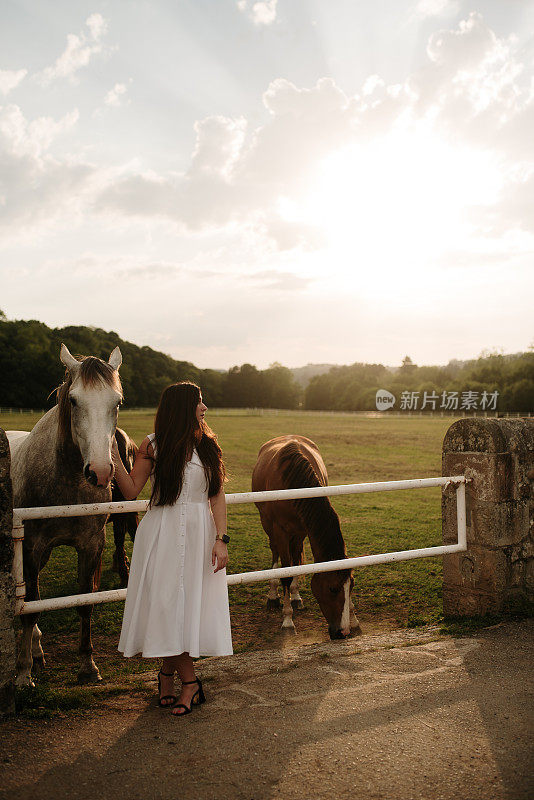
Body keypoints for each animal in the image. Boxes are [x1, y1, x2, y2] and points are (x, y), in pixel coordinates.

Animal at [7, 344, 123, 688]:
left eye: (117, 402)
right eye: (73, 400)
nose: (100, 472)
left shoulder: (91, 545)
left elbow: (84, 602)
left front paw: (87, 665)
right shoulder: (31, 547)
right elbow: (31, 609)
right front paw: (23, 674)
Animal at [253, 434, 362, 640]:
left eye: (351, 586)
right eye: (332, 588)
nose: (342, 632)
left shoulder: (304, 527)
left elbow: (295, 564)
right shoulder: (279, 530)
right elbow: (285, 574)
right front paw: (287, 620)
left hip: (297, 533)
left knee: (295, 556)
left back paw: (295, 597)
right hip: (268, 525)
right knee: (275, 552)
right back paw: (273, 596)